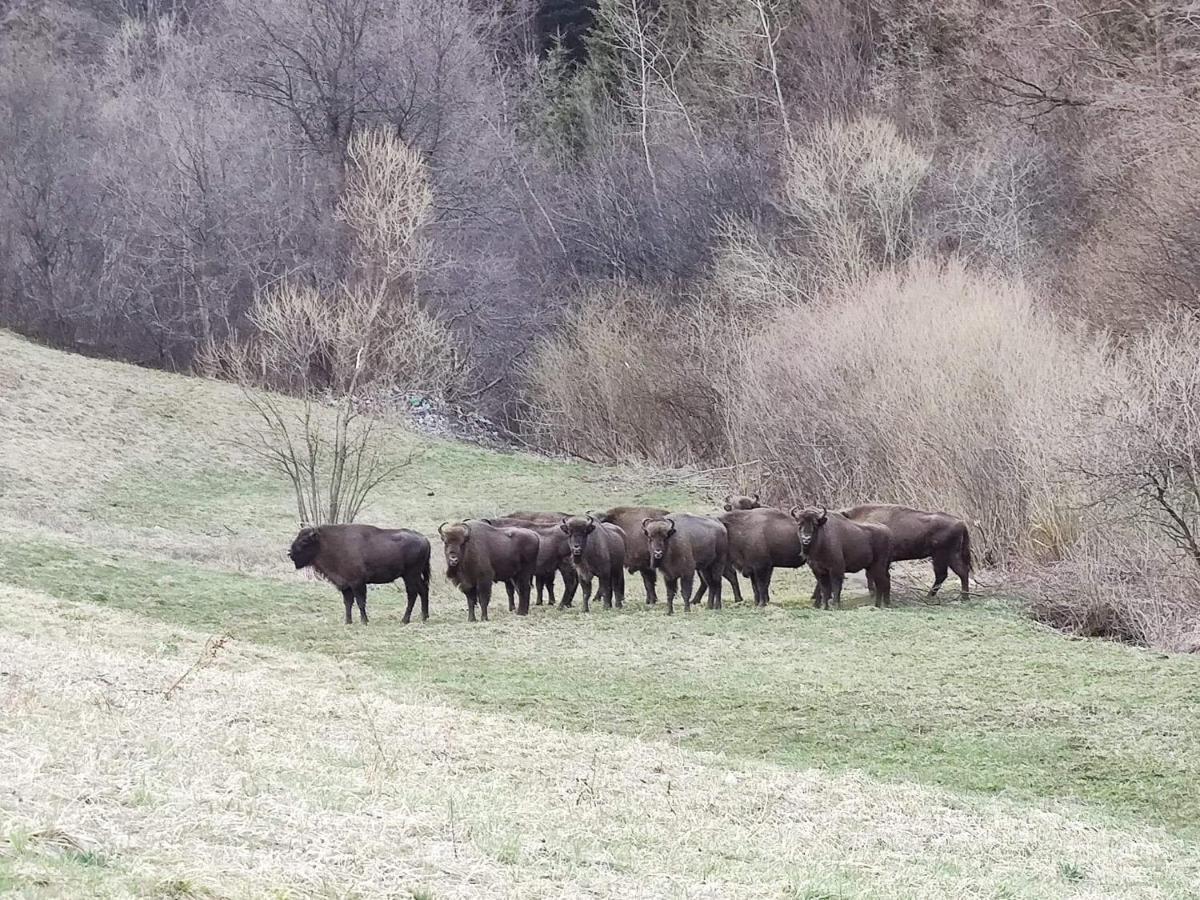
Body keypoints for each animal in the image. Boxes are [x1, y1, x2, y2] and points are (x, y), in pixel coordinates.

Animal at [289, 528, 432, 628]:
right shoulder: (346, 585)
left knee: (412, 593)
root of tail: (425, 539)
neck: (327, 543)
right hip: (415, 575)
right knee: (423, 590)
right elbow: (348, 602)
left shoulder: (357, 583)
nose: (290, 553)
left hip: (410, 575)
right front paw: (348, 622)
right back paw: (424, 617)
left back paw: (405, 620)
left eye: (304, 541)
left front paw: (364, 621)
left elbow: (360, 602)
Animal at [840, 504, 969, 602]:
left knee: (943, 575)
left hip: (940, 556)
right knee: (962, 572)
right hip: (951, 556)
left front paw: (873, 594)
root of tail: (960, 522)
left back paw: (929, 597)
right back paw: (964, 597)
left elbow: (871, 576)